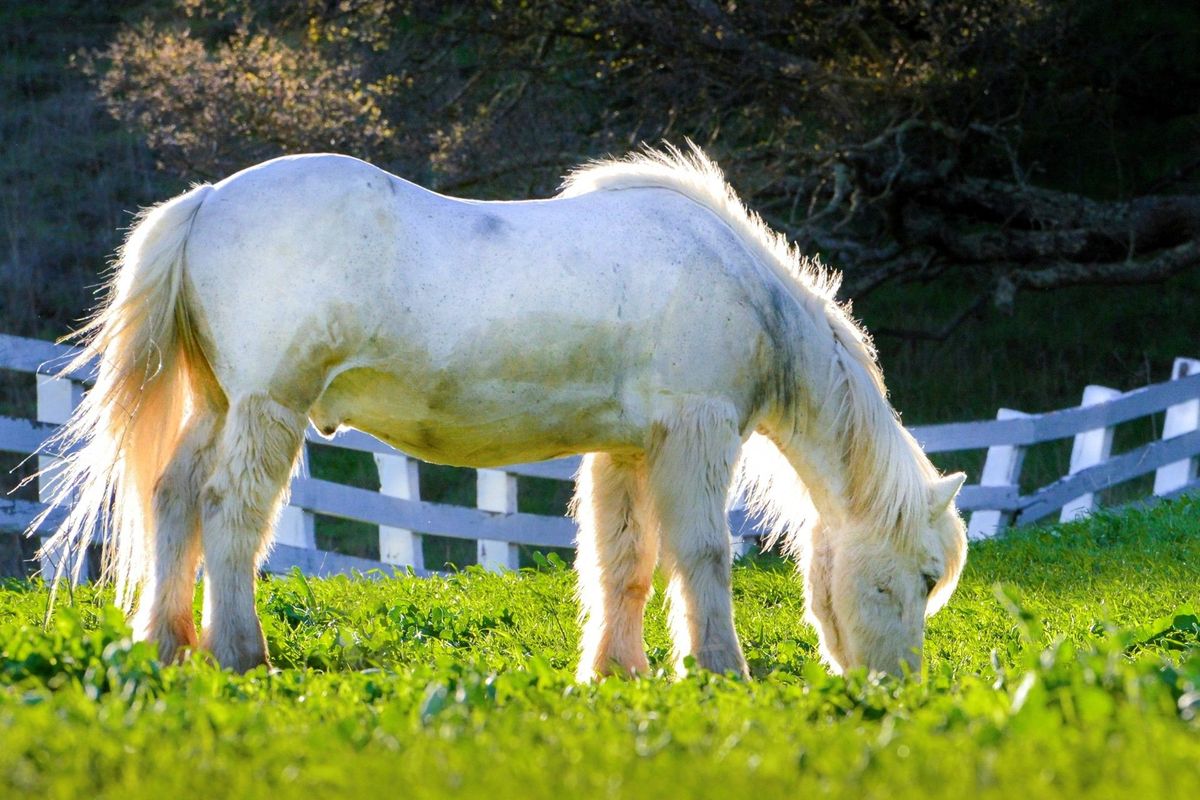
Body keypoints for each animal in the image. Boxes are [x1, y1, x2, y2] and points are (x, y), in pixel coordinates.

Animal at [34, 143, 967, 678]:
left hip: (222, 407)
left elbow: (624, 562)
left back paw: (165, 647)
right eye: (924, 577)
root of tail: (206, 201)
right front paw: (719, 670)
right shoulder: (694, 438)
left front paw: (618, 672)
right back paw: (240, 654)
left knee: (173, 499)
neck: (737, 283)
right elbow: (702, 556)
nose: (896, 691)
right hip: (268, 408)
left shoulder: (630, 451)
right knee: (229, 513)